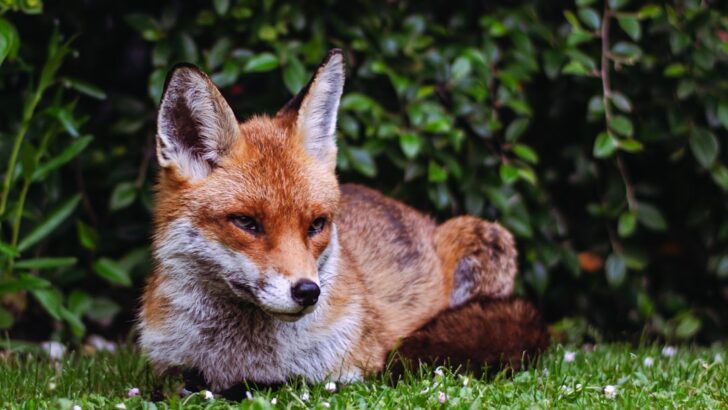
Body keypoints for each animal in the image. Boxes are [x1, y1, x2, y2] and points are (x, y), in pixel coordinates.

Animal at [139, 49, 548, 393]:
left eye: (317, 225)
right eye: (246, 222)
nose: (308, 291)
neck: (239, 361)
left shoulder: (345, 374)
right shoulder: (169, 369)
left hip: (486, 240)